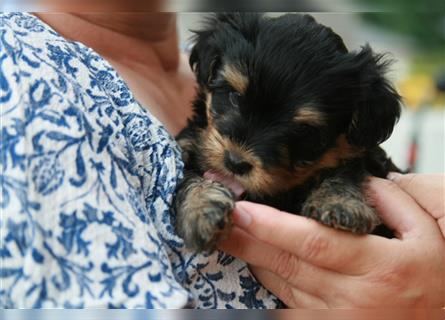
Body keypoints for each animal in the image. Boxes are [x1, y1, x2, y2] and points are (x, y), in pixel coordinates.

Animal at [173, 13, 398, 252]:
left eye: (303, 130)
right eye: (234, 96)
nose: (235, 162)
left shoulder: (355, 154)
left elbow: (344, 172)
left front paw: (341, 204)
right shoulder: (189, 145)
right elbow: (185, 177)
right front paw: (202, 210)